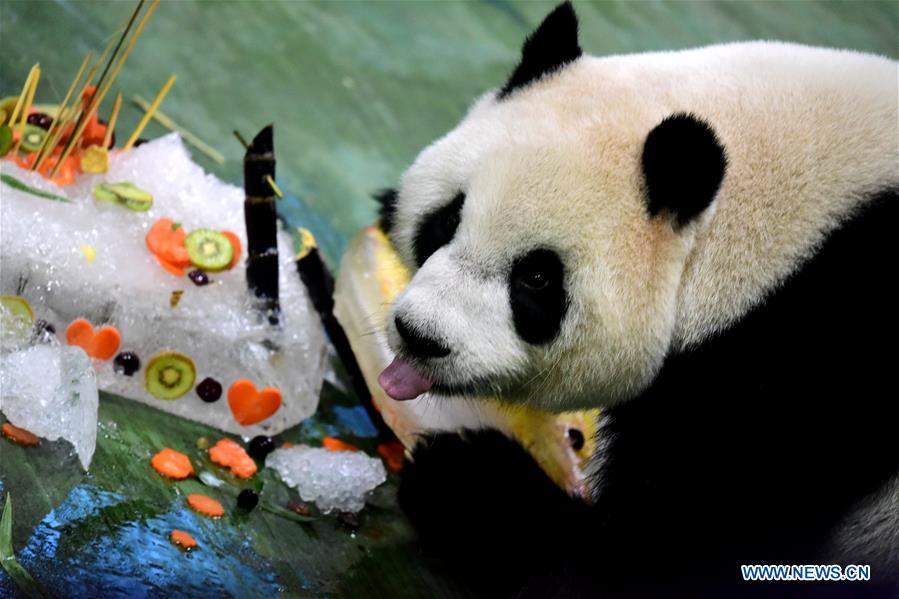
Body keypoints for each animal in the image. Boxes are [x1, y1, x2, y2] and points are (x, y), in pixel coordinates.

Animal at [375, 2, 898, 597]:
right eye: (447, 220)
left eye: (537, 278)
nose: (421, 335)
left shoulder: (816, 364)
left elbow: (669, 553)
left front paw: (467, 483)